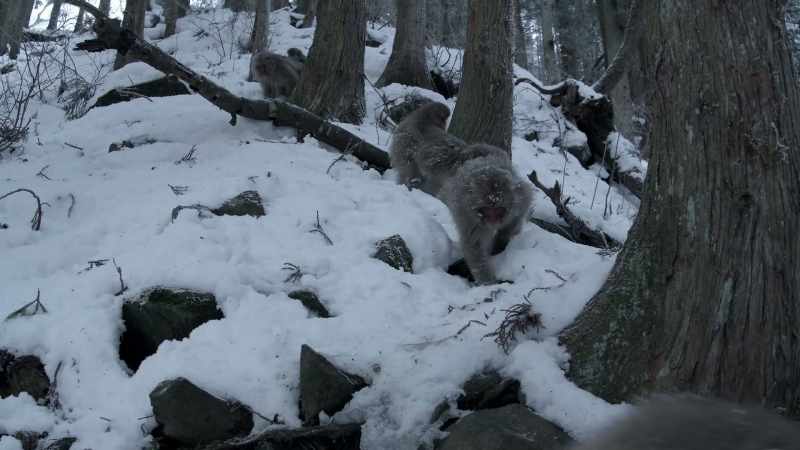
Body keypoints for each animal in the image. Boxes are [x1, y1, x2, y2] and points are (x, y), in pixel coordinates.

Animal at [439, 145, 533, 285]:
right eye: (487, 210)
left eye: (498, 210)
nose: (493, 220)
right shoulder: (467, 214)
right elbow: (474, 245)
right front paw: (488, 282)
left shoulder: (518, 199)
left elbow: (522, 209)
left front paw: (502, 238)